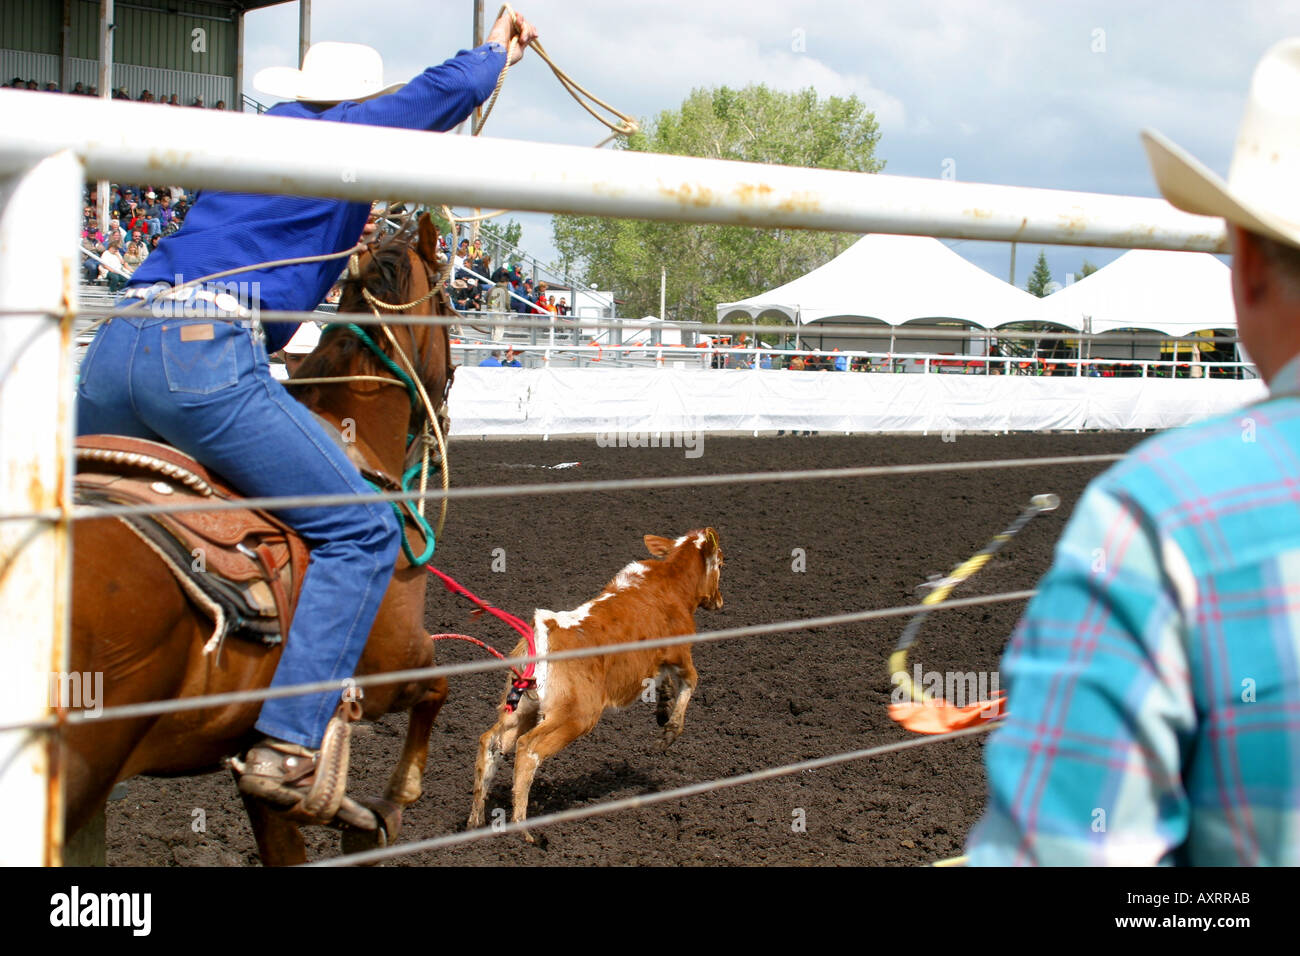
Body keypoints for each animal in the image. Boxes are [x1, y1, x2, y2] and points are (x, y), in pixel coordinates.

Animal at [468, 528, 725, 842]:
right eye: (721, 562)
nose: (719, 601)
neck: (671, 581)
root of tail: (544, 632)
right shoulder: (679, 651)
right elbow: (691, 681)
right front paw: (669, 732)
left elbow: (664, 681)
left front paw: (663, 707)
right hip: (575, 716)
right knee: (528, 749)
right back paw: (524, 832)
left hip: (521, 707)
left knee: (491, 742)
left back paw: (475, 824)